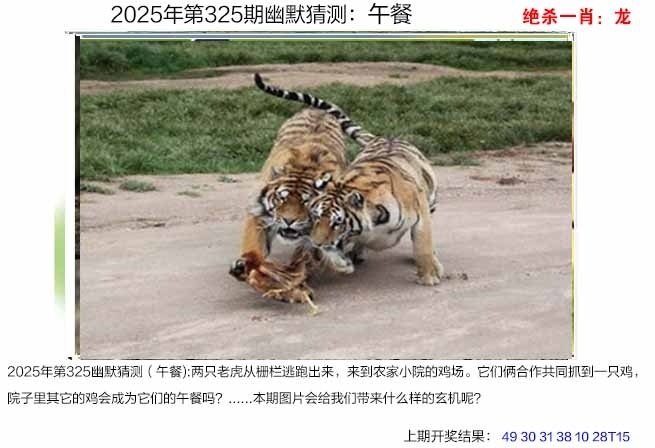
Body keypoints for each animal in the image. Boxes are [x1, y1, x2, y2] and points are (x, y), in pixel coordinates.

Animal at [229, 74, 356, 281]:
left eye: (306, 202)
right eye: (282, 198)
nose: (289, 221)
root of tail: (316, 110)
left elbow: (310, 249)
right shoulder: (258, 210)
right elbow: (254, 242)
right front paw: (245, 264)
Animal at [253, 75, 445, 286]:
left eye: (338, 222)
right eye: (316, 216)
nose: (316, 242)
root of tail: (380, 137)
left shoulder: (420, 212)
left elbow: (422, 244)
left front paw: (429, 276)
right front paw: (339, 263)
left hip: (431, 201)